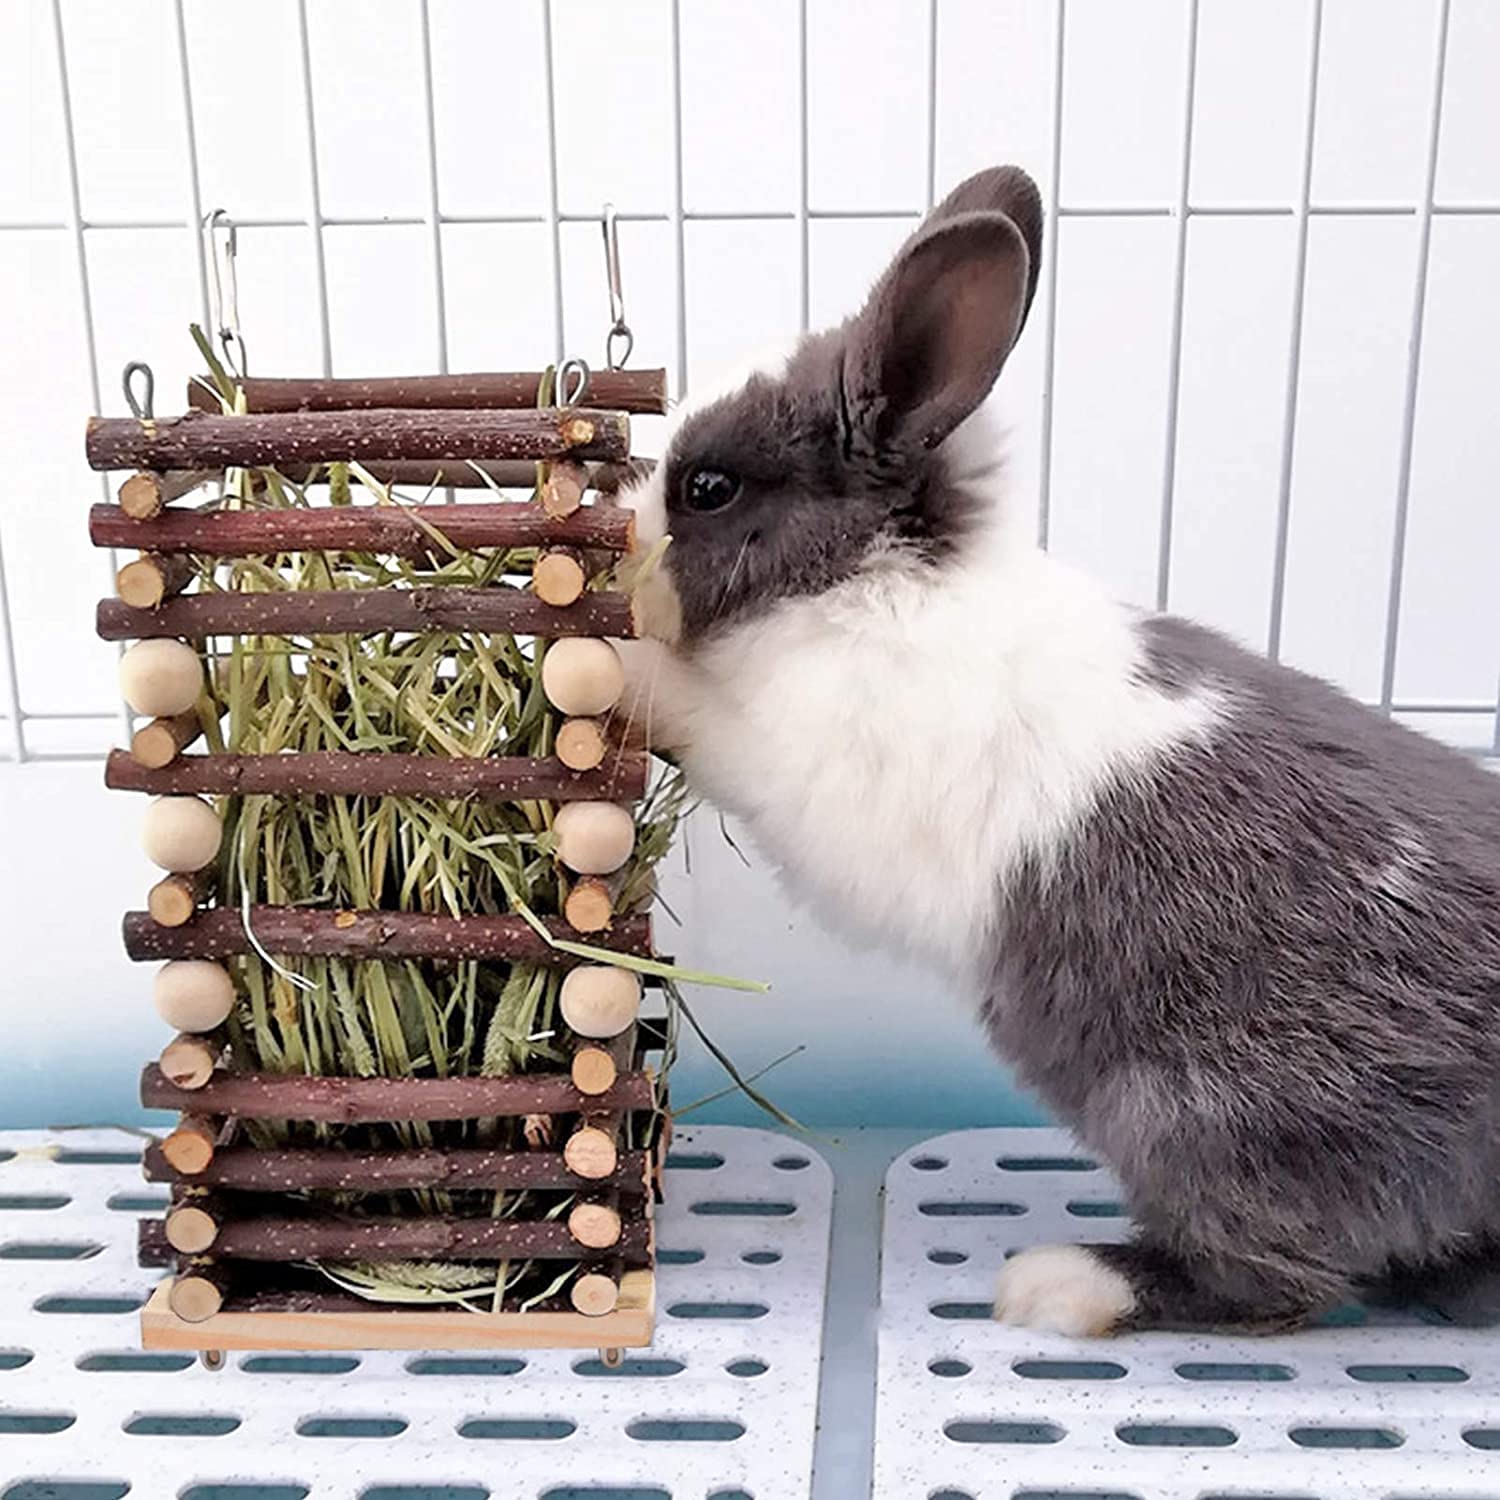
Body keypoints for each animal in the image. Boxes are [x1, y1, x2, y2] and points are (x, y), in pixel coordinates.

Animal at [614, 164, 1500, 1335]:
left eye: (708, 489)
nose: (615, 553)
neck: (863, 580)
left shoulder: (793, 756)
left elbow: (696, 712)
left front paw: (602, 654)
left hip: (1214, 1116)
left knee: (1278, 1282)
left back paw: (1065, 1286)